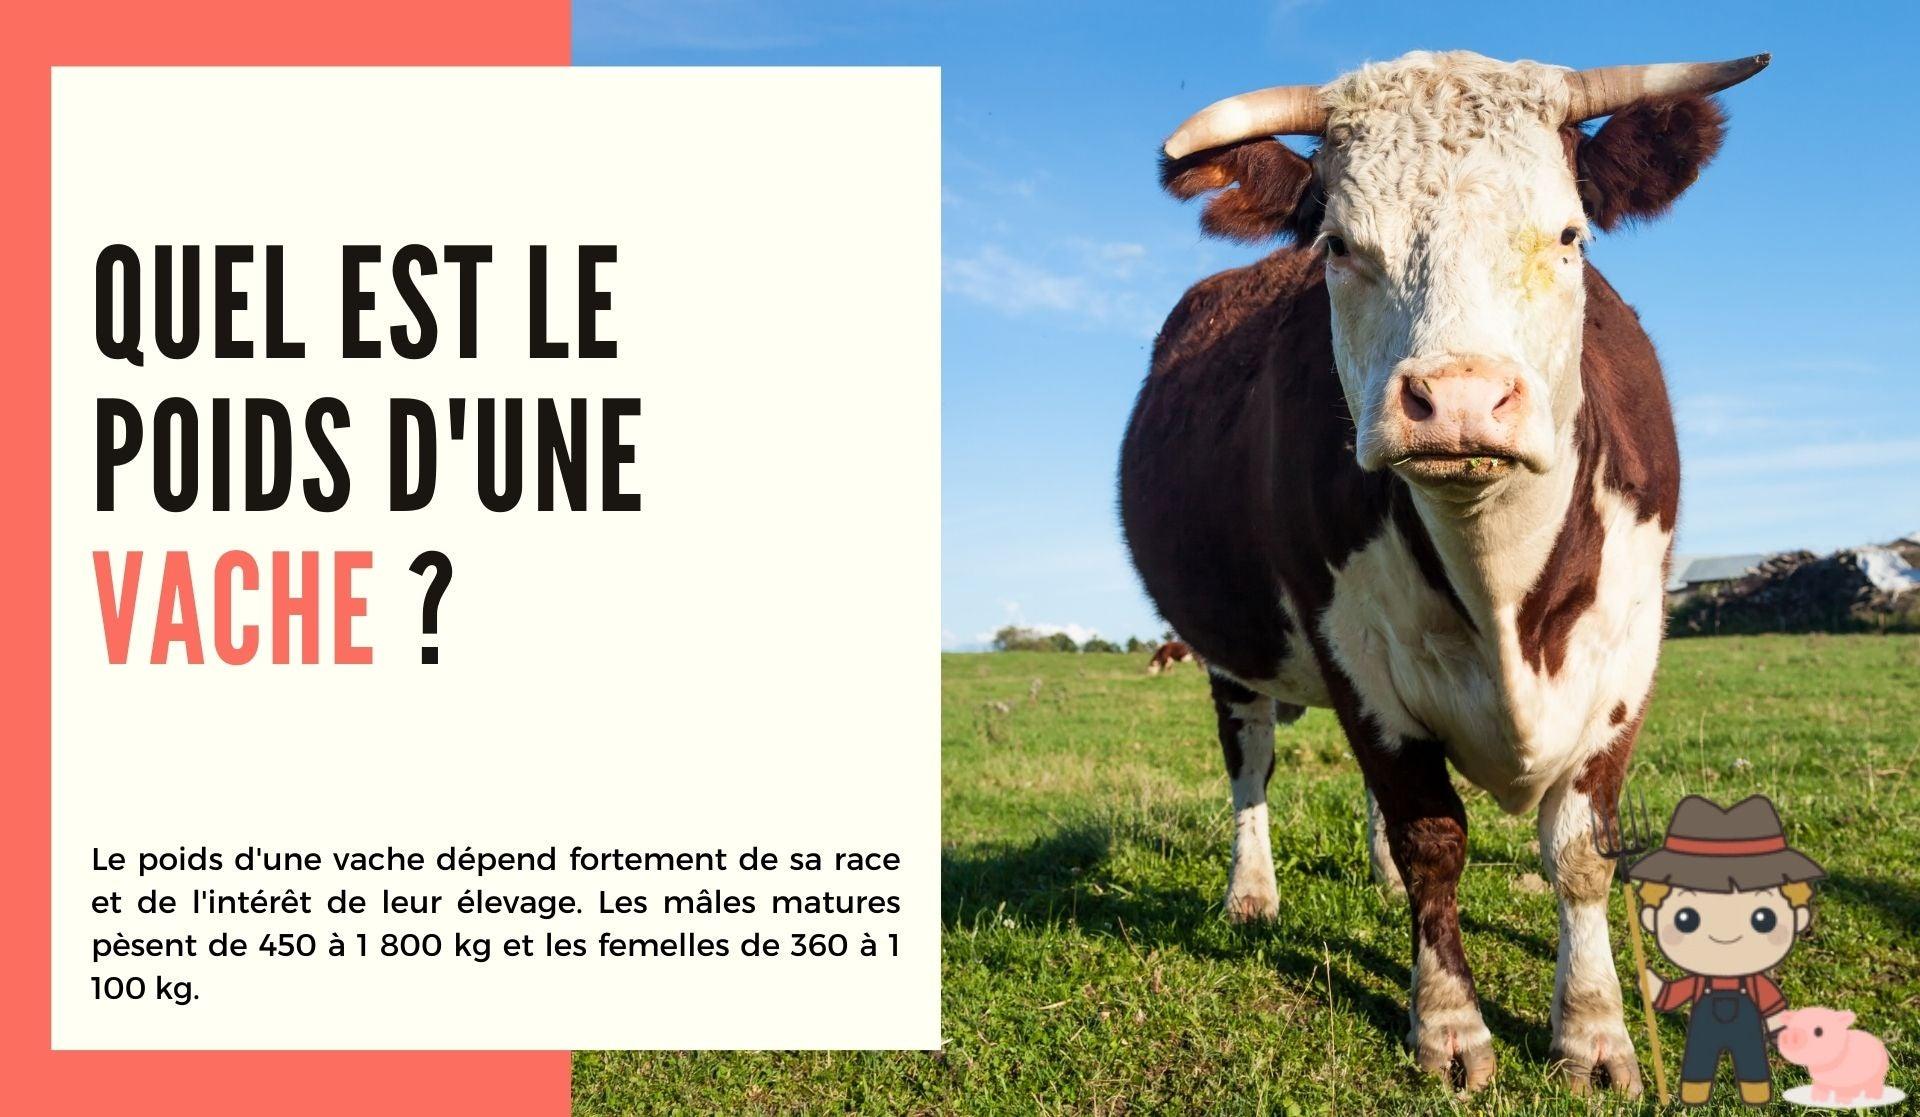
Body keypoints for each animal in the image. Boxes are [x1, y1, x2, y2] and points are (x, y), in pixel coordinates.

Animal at [1118, 50, 1769, 1094]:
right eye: (1340, 245)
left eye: (1568, 235)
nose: (1459, 398)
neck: (1502, 592)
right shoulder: (1356, 657)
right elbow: (1433, 838)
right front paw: (1450, 1025)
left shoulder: (1627, 657)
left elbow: (1580, 851)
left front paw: (1595, 1033)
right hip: (1231, 649)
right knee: (1251, 759)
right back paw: (1252, 890)